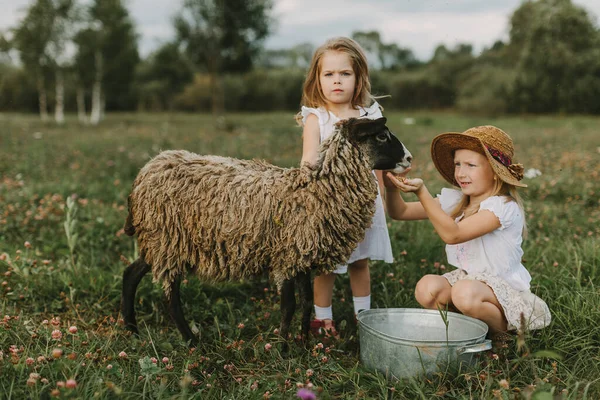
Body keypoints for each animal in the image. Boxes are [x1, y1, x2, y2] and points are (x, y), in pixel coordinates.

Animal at [122, 117, 412, 346]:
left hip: (159, 240)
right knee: (171, 297)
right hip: (168, 239)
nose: (409, 158)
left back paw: (132, 330)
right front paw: (283, 349)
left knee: (130, 274)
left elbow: (306, 302)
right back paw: (191, 340)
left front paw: (304, 343)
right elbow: (289, 306)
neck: (315, 192)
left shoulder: (301, 255)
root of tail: (145, 171)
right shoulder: (286, 257)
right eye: (382, 136)